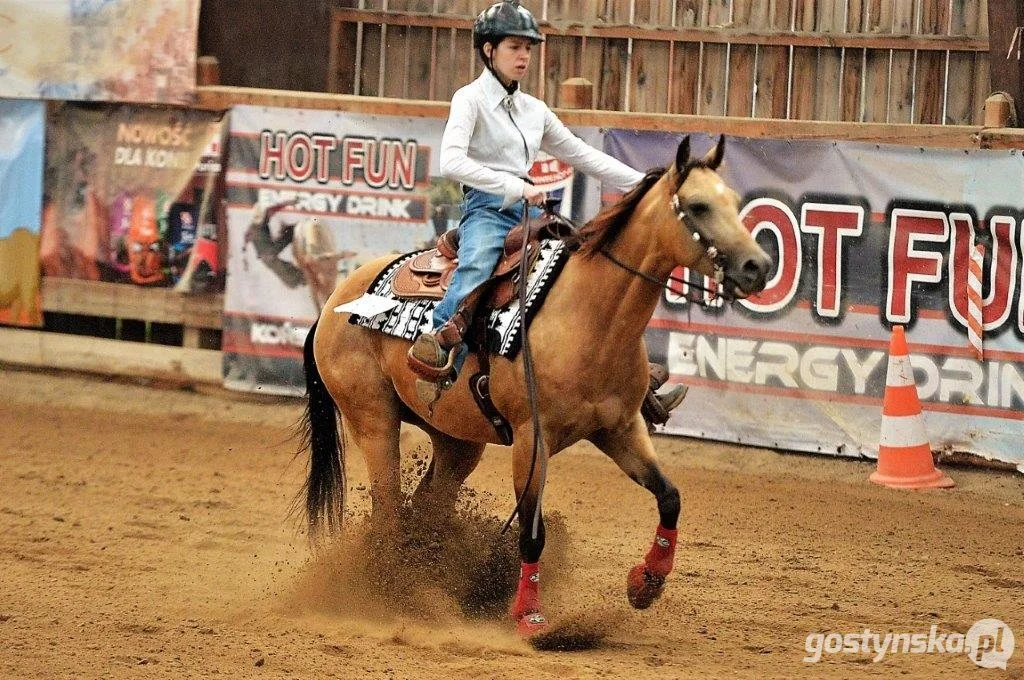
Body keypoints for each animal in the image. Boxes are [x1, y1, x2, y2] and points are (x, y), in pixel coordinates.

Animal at [299, 135, 770, 634]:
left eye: (734, 200)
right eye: (698, 206)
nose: (757, 266)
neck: (589, 315)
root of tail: (332, 304)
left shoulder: (620, 429)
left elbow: (669, 497)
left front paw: (646, 583)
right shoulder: (531, 440)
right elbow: (531, 533)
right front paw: (529, 616)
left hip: (456, 440)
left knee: (428, 505)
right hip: (373, 419)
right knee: (388, 509)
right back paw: (395, 590)